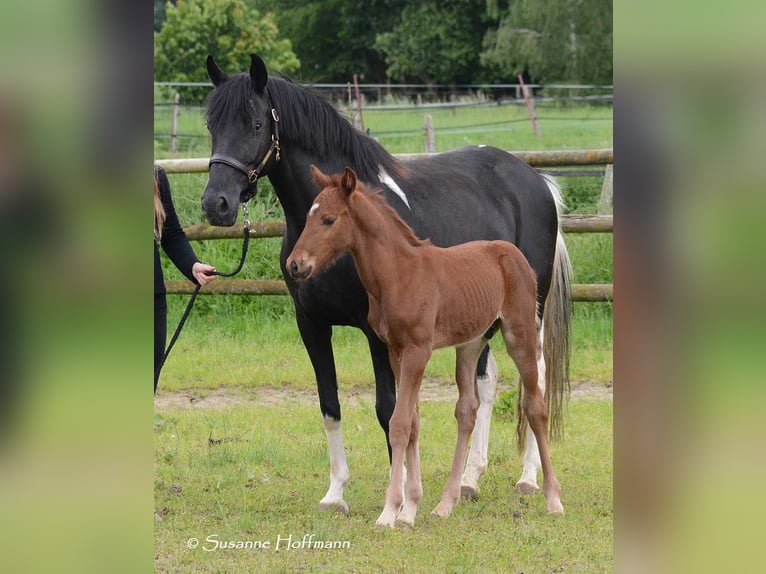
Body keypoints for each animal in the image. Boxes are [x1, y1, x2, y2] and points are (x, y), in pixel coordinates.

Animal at [288, 165, 564, 528]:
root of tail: (512, 252)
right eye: (308, 216)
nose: (294, 265)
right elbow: (412, 422)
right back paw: (447, 502)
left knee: (535, 405)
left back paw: (549, 496)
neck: (399, 274)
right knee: (467, 410)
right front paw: (410, 509)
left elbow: (400, 423)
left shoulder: (418, 350)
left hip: (520, 334)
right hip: (471, 344)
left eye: (329, 220)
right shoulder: (395, 351)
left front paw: (390, 511)